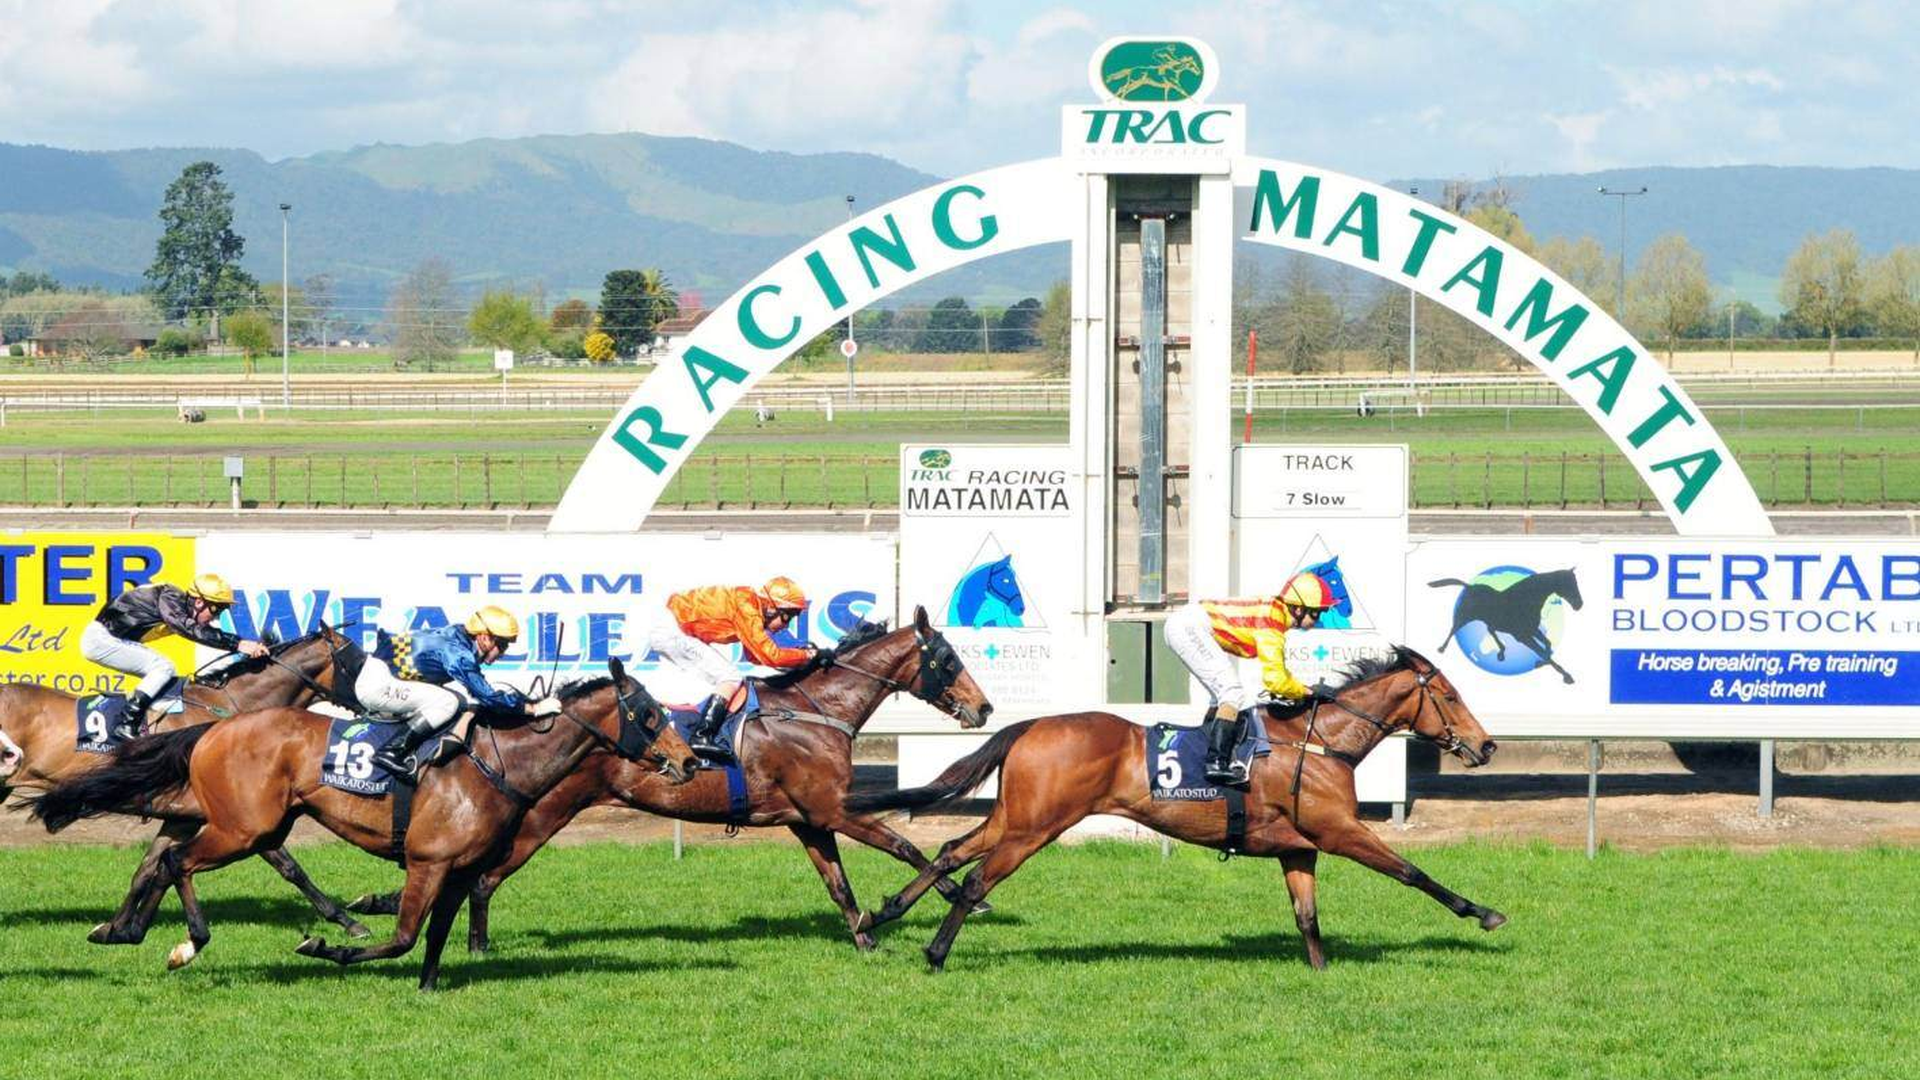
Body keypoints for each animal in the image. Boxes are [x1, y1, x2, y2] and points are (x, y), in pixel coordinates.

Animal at [0, 626, 372, 937]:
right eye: (360, 663)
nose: (377, 708)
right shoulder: (238, 817)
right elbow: (290, 867)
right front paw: (348, 921)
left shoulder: (182, 818)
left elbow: (146, 871)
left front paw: (115, 927)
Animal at [28, 657, 698, 983]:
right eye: (646, 712)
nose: (690, 760)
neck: (500, 764)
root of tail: (214, 727)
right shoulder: (428, 862)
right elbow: (401, 937)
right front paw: (326, 943)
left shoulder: (458, 870)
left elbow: (433, 937)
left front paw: (431, 986)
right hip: (242, 829)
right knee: (176, 860)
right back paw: (186, 943)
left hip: (260, 825)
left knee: (167, 859)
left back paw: (125, 931)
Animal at [351, 607, 998, 949]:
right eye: (948, 659)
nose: (984, 707)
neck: (815, 709)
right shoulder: (833, 808)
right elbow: (904, 844)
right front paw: (942, 902)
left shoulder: (808, 819)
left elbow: (838, 883)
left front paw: (864, 934)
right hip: (543, 813)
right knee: (485, 878)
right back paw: (472, 942)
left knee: (481, 877)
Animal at [852, 641, 1497, 972]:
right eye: (1449, 696)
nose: (1487, 745)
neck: (1317, 743)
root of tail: (1032, 724)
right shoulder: (1340, 832)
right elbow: (1412, 871)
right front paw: (1483, 912)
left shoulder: (1299, 849)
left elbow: (1307, 917)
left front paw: (1319, 971)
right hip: (1034, 828)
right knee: (977, 879)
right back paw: (936, 952)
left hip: (1015, 817)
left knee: (949, 851)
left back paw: (880, 916)